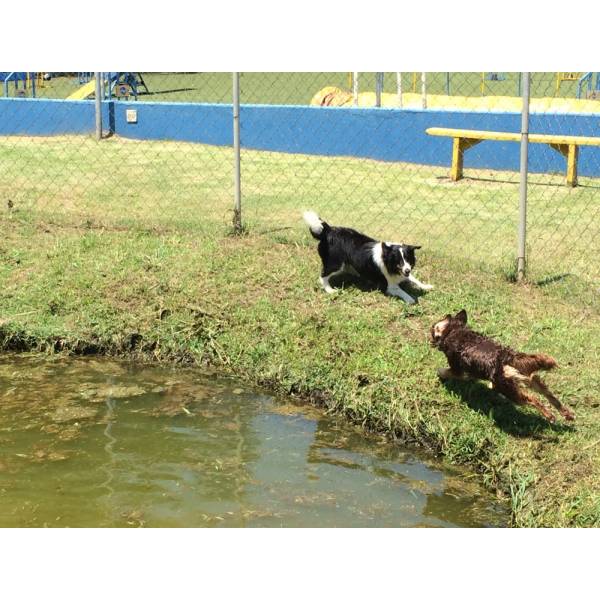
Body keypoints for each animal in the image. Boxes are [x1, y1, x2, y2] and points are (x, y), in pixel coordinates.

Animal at [304, 211, 432, 304]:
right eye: (398, 261)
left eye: (408, 259)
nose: (407, 270)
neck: (387, 257)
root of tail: (328, 230)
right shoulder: (389, 286)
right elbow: (402, 291)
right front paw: (411, 299)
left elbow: (415, 279)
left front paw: (426, 286)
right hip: (335, 263)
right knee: (323, 276)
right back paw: (329, 290)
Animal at [428, 310, 576, 422]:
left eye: (432, 329)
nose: (429, 338)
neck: (454, 331)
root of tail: (507, 356)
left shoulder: (456, 368)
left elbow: (446, 371)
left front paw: (440, 373)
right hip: (529, 379)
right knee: (549, 395)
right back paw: (566, 414)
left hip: (508, 389)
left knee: (533, 399)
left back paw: (549, 415)